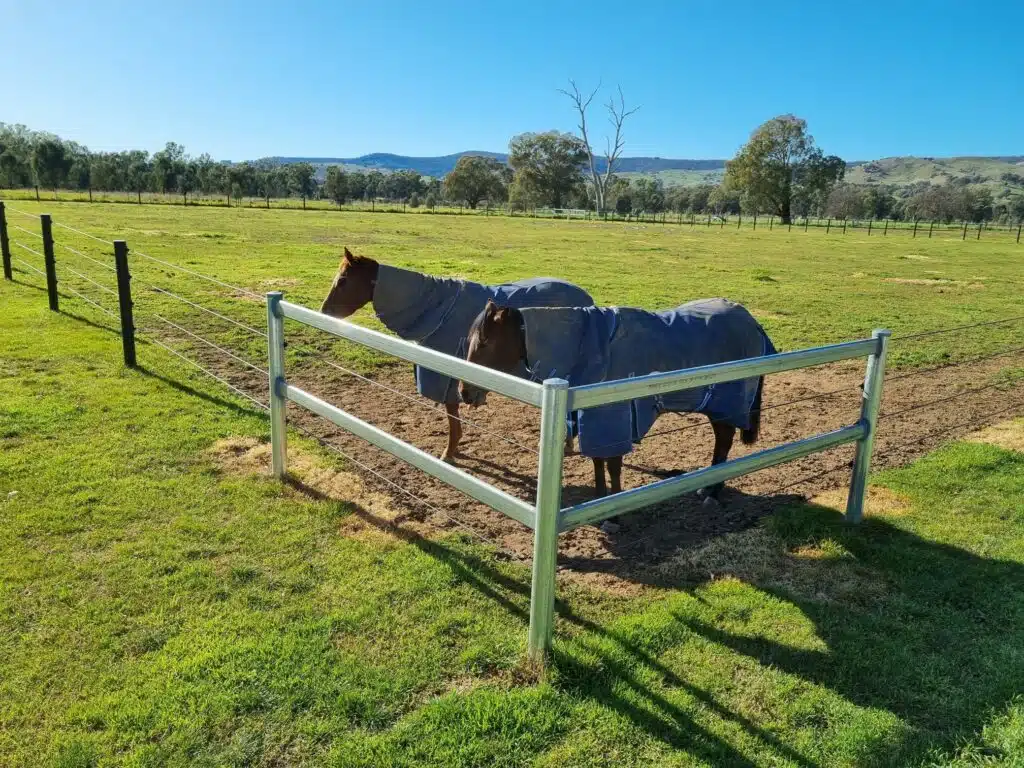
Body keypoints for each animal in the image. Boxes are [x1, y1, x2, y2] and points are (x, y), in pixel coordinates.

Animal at [320, 248, 593, 461]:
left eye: (342, 280)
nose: (324, 311)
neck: (436, 306)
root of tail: (585, 297)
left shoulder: (450, 376)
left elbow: (451, 413)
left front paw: (449, 452)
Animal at [461, 299, 776, 526]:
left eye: (485, 341)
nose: (465, 392)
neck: (585, 345)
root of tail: (751, 321)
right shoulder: (593, 420)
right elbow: (598, 464)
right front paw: (598, 507)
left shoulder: (613, 420)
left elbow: (612, 465)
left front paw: (612, 515)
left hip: (726, 404)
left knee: (724, 440)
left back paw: (712, 493)